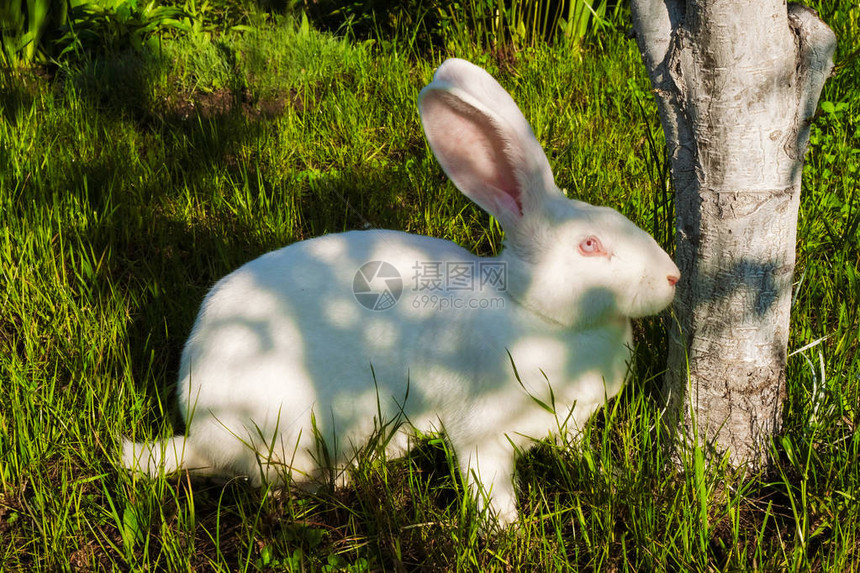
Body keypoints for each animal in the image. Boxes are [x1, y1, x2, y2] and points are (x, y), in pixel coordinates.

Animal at [122, 57, 680, 524]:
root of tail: (199, 431)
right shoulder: (482, 433)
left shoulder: (570, 423)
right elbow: (487, 481)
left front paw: (602, 474)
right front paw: (504, 531)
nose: (673, 276)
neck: (534, 313)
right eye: (590, 245)